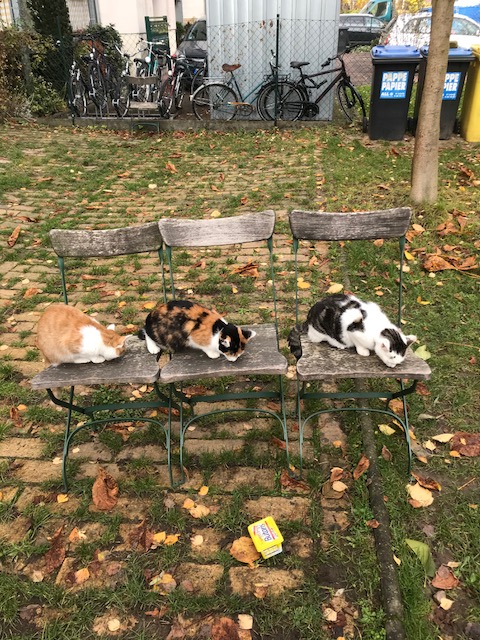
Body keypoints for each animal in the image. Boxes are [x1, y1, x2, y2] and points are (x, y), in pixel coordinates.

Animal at [288, 294, 416, 368]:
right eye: (392, 357)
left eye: (399, 360)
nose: (393, 366)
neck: (379, 327)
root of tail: (308, 318)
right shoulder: (353, 331)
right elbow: (358, 343)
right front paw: (363, 351)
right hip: (318, 333)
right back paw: (339, 344)